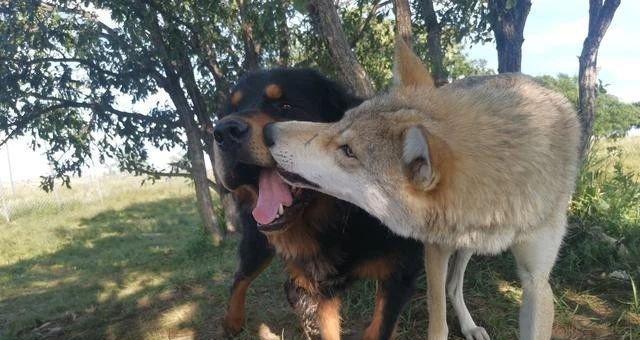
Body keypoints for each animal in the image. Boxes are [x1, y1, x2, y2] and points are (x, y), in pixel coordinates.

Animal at [214, 67, 476, 338]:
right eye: (230, 110)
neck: (342, 217)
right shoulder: (324, 289)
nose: (223, 131)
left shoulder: (399, 274)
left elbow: (379, 328)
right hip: (259, 241)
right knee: (242, 277)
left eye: (286, 106)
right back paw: (233, 321)